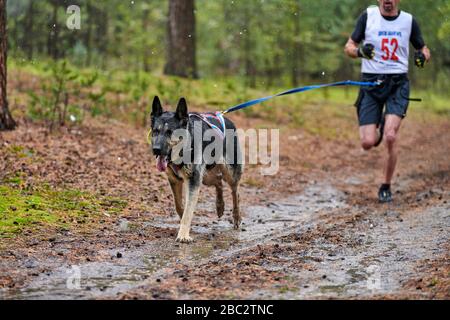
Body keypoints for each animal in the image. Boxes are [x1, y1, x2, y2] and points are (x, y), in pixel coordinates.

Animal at [150, 96, 243, 241]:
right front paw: (185, 224)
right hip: (205, 178)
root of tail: (225, 118)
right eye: (156, 131)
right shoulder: (175, 180)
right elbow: (179, 206)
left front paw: (183, 235)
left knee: (235, 191)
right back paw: (220, 206)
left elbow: (188, 210)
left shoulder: (193, 181)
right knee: (218, 182)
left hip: (229, 174)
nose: (156, 150)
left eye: (170, 132)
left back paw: (236, 216)